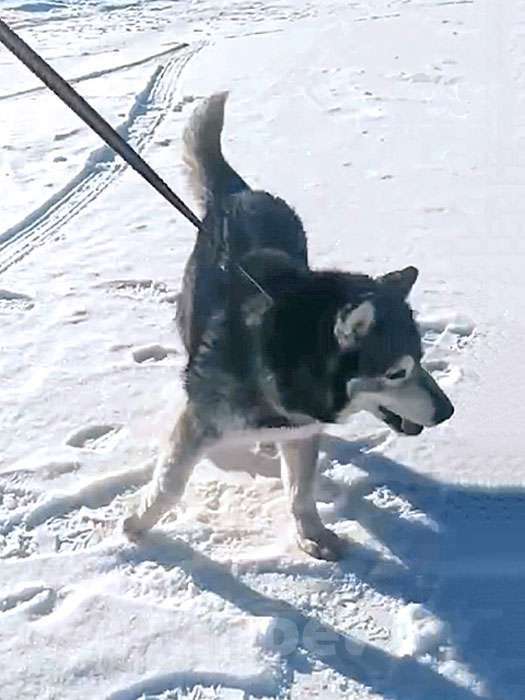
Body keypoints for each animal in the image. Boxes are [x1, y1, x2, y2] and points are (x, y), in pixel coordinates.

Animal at [124, 93, 454, 560]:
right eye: (396, 372)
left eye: (423, 360)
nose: (447, 412)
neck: (288, 363)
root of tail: (241, 193)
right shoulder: (201, 419)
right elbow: (170, 482)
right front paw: (137, 525)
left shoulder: (303, 429)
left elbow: (300, 490)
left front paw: (311, 533)